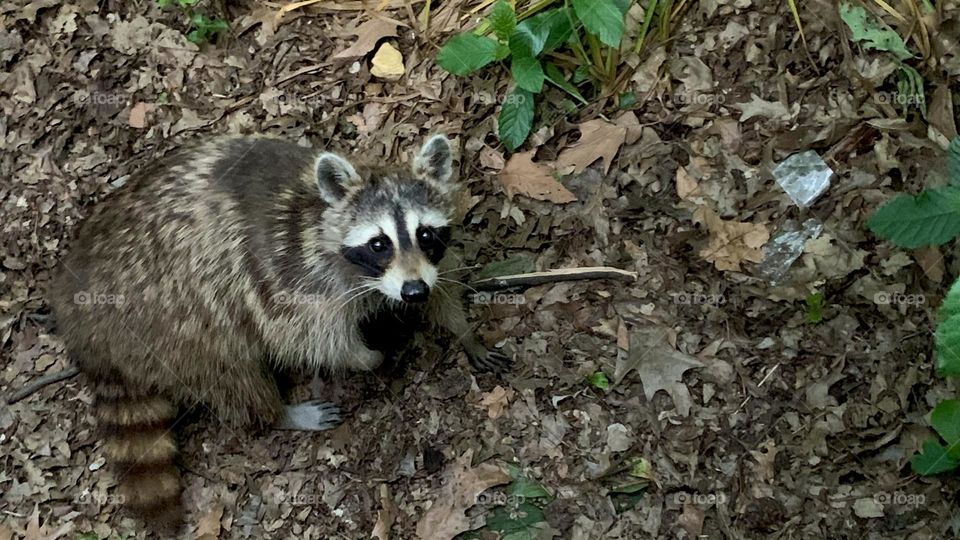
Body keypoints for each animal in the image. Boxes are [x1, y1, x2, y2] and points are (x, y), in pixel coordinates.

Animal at [47, 135, 510, 528]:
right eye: (379, 243)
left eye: (425, 233)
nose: (412, 292)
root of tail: (84, 329)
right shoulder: (290, 278)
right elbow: (306, 337)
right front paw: (366, 356)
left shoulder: (421, 267)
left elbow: (442, 285)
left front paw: (462, 331)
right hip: (167, 317)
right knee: (227, 366)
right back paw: (276, 412)